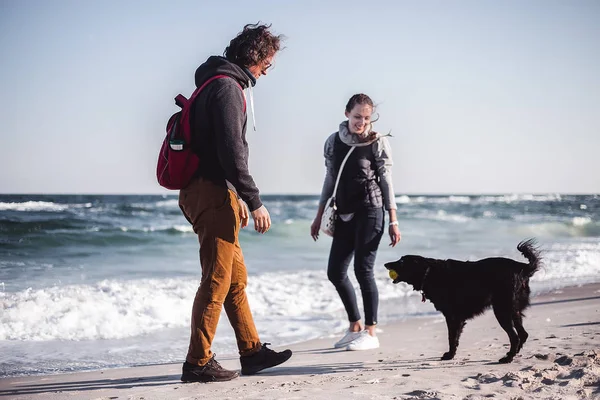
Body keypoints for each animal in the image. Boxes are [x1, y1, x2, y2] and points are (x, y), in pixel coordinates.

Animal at [386, 239, 540, 364]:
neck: (429, 273)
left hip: (502, 310)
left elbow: (451, 337)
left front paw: (449, 355)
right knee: (523, 334)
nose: (385, 264)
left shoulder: (452, 316)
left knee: (515, 337)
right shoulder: (457, 318)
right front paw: (451, 354)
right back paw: (512, 354)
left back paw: (507, 358)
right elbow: (455, 338)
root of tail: (522, 268)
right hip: (513, 310)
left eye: (401, 261)